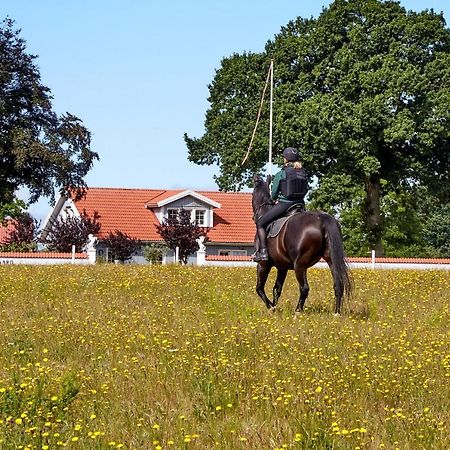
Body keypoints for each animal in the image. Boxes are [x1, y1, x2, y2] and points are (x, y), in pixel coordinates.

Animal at [253, 174, 352, 314]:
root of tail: (321, 219)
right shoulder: (282, 267)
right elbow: (277, 289)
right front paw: (275, 308)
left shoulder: (263, 264)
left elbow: (259, 288)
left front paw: (271, 307)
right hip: (331, 260)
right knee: (338, 284)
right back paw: (336, 313)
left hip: (299, 265)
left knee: (304, 288)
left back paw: (297, 311)